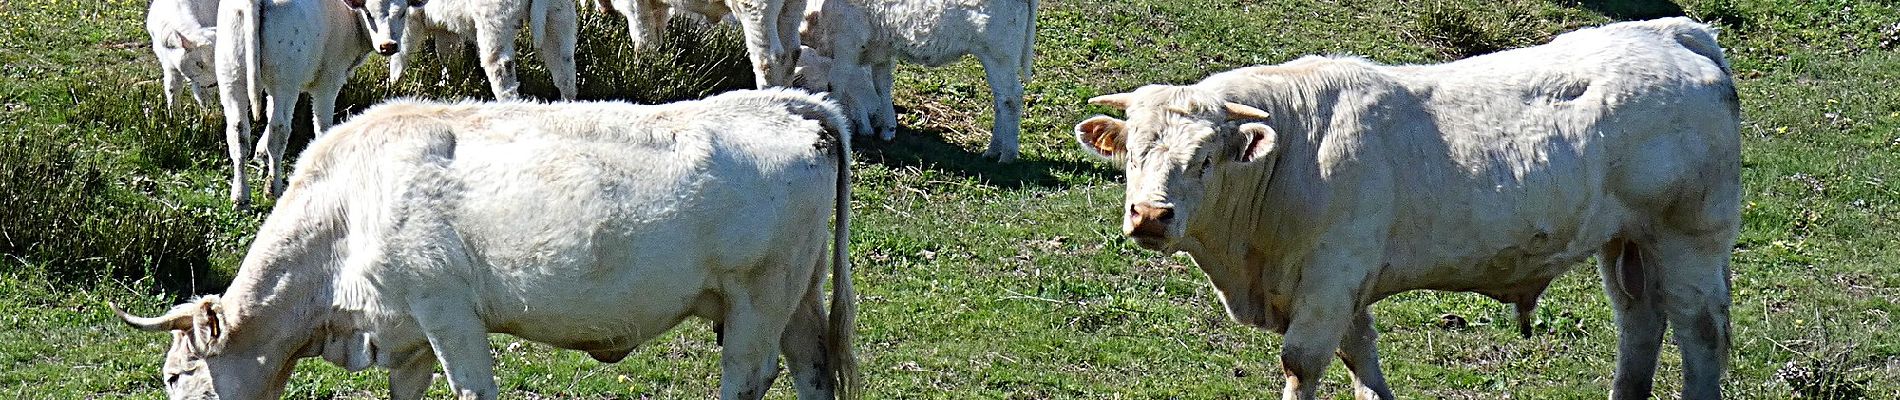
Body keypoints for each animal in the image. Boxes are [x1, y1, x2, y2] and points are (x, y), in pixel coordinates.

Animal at [217, 0, 372, 211]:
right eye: (369, 12)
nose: (389, 45)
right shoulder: (329, 80)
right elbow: (322, 125)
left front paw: (260, 153)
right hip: (285, 81)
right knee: (278, 131)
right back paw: (273, 189)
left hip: (231, 74)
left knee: (238, 132)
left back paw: (240, 198)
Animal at [604, 0, 805, 87]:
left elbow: (644, 41)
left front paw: (644, 72)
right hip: (793, 5)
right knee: (791, 55)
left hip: (755, 5)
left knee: (769, 59)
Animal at [801, 0, 1041, 162]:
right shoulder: (881, 50)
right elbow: (882, 86)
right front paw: (888, 129)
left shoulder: (847, 45)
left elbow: (835, 85)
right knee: (1000, 100)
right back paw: (992, 150)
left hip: (999, 55)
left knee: (1011, 98)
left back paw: (1007, 154)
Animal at [1071, 18, 1740, 400]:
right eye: (1133, 152)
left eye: (1206, 159)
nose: (1149, 216)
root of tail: (1674, 33)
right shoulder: (1340, 287)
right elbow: (1360, 356)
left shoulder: (1332, 275)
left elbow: (1303, 362)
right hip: (1627, 243)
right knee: (1640, 325)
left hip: (1690, 238)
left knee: (1700, 331)